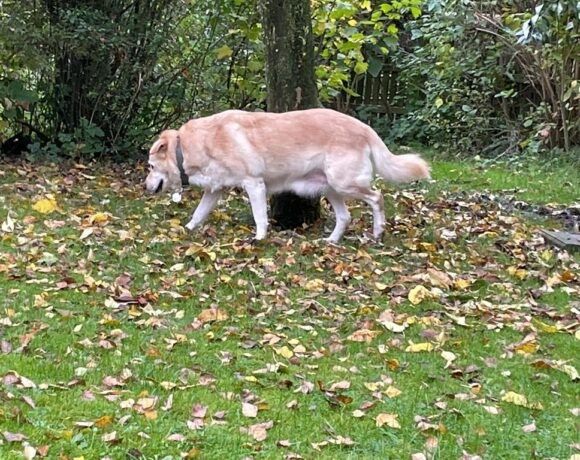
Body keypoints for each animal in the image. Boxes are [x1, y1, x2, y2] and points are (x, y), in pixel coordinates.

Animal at [143, 108, 428, 243]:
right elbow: (198, 214)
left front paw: (259, 240)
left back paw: (378, 231)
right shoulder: (215, 190)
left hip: (345, 183)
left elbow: (260, 218)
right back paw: (332, 241)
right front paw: (187, 229)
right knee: (345, 216)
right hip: (331, 188)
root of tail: (364, 127)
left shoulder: (254, 184)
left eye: (150, 167)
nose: (145, 187)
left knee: (377, 197)